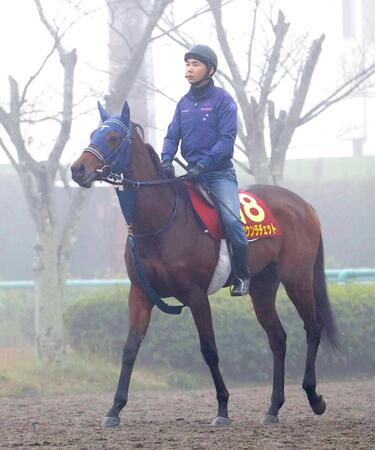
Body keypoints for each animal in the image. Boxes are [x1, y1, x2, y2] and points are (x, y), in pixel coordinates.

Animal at [70, 100, 338, 428]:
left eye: (113, 138)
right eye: (93, 133)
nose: (78, 168)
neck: (161, 220)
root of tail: (304, 205)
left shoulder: (196, 296)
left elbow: (209, 350)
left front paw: (222, 408)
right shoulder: (140, 293)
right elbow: (131, 347)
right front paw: (114, 409)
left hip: (297, 279)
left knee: (313, 328)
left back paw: (314, 397)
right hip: (263, 286)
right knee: (278, 338)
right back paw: (273, 408)